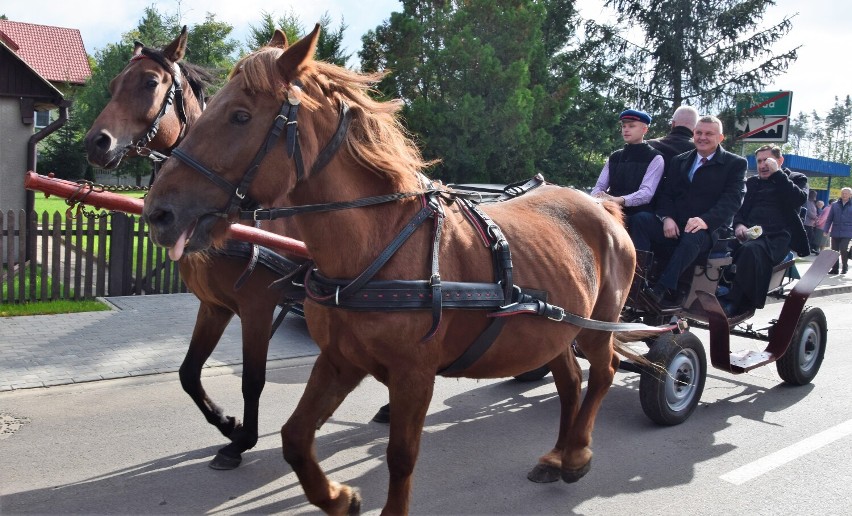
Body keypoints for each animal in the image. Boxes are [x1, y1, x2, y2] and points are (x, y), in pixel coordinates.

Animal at [85, 28, 304, 472]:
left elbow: (253, 379)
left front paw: (242, 440)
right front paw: (228, 424)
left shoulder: (256, 308)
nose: (95, 142)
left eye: (150, 82)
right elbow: (188, 372)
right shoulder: (214, 305)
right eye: (114, 84)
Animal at [141, 27, 632, 516]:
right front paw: (338, 498)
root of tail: (601, 206)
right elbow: (295, 437)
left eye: (241, 116)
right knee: (569, 380)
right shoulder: (340, 360)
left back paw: (577, 454)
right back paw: (557, 455)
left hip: (596, 326)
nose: (158, 212)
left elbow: (401, 456)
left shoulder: (413, 376)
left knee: (603, 371)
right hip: (556, 330)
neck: (379, 245)